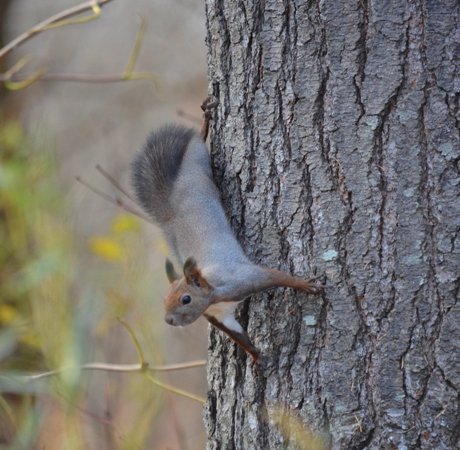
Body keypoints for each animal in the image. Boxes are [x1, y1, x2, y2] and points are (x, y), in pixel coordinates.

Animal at [131, 121, 322, 360]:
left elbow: (276, 276)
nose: (169, 320)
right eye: (164, 299)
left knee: (198, 143)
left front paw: (305, 286)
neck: (212, 295)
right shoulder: (220, 317)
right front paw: (256, 357)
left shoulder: (242, 280)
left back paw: (204, 126)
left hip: (197, 163)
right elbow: (238, 335)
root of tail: (169, 207)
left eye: (186, 299)